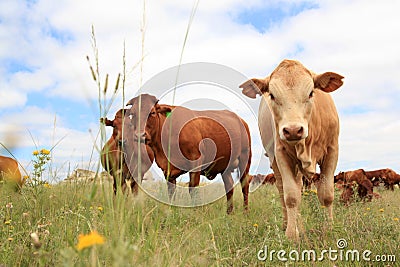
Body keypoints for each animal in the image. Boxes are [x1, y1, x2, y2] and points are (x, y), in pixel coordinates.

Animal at [241, 59, 344, 242]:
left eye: (311, 93)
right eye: (272, 95)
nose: (294, 130)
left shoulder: (332, 150)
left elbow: (327, 194)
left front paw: (329, 228)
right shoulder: (281, 154)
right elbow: (291, 197)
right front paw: (291, 234)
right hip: (275, 161)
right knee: (284, 190)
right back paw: (291, 225)